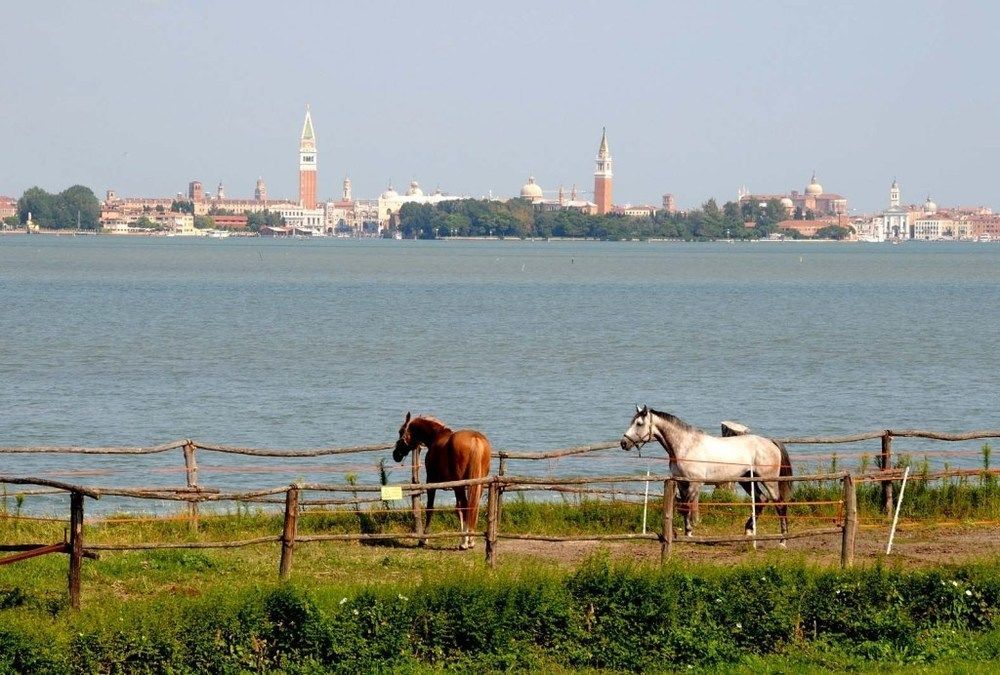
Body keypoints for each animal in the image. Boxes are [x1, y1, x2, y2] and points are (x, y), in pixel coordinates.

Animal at [390, 412, 492, 548]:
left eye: (401, 431)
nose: (395, 454)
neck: (436, 437)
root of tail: (475, 439)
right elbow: (458, 509)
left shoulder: (431, 482)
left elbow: (430, 509)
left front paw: (424, 539)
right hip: (478, 484)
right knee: (473, 507)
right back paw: (470, 540)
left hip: (460, 485)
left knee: (466, 506)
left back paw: (464, 542)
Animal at [616, 406, 788, 544]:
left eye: (639, 424)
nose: (624, 443)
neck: (686, 446)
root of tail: (770, 442)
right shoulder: (681, 483)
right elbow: (683, 508)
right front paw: (686, 532)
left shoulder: (694, 484)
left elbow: (687, 507)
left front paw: (689, 533)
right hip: (746, 479)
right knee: (761, 500)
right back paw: (748, 531)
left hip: (769, 480)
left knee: (779, 504)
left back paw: (782, 540)